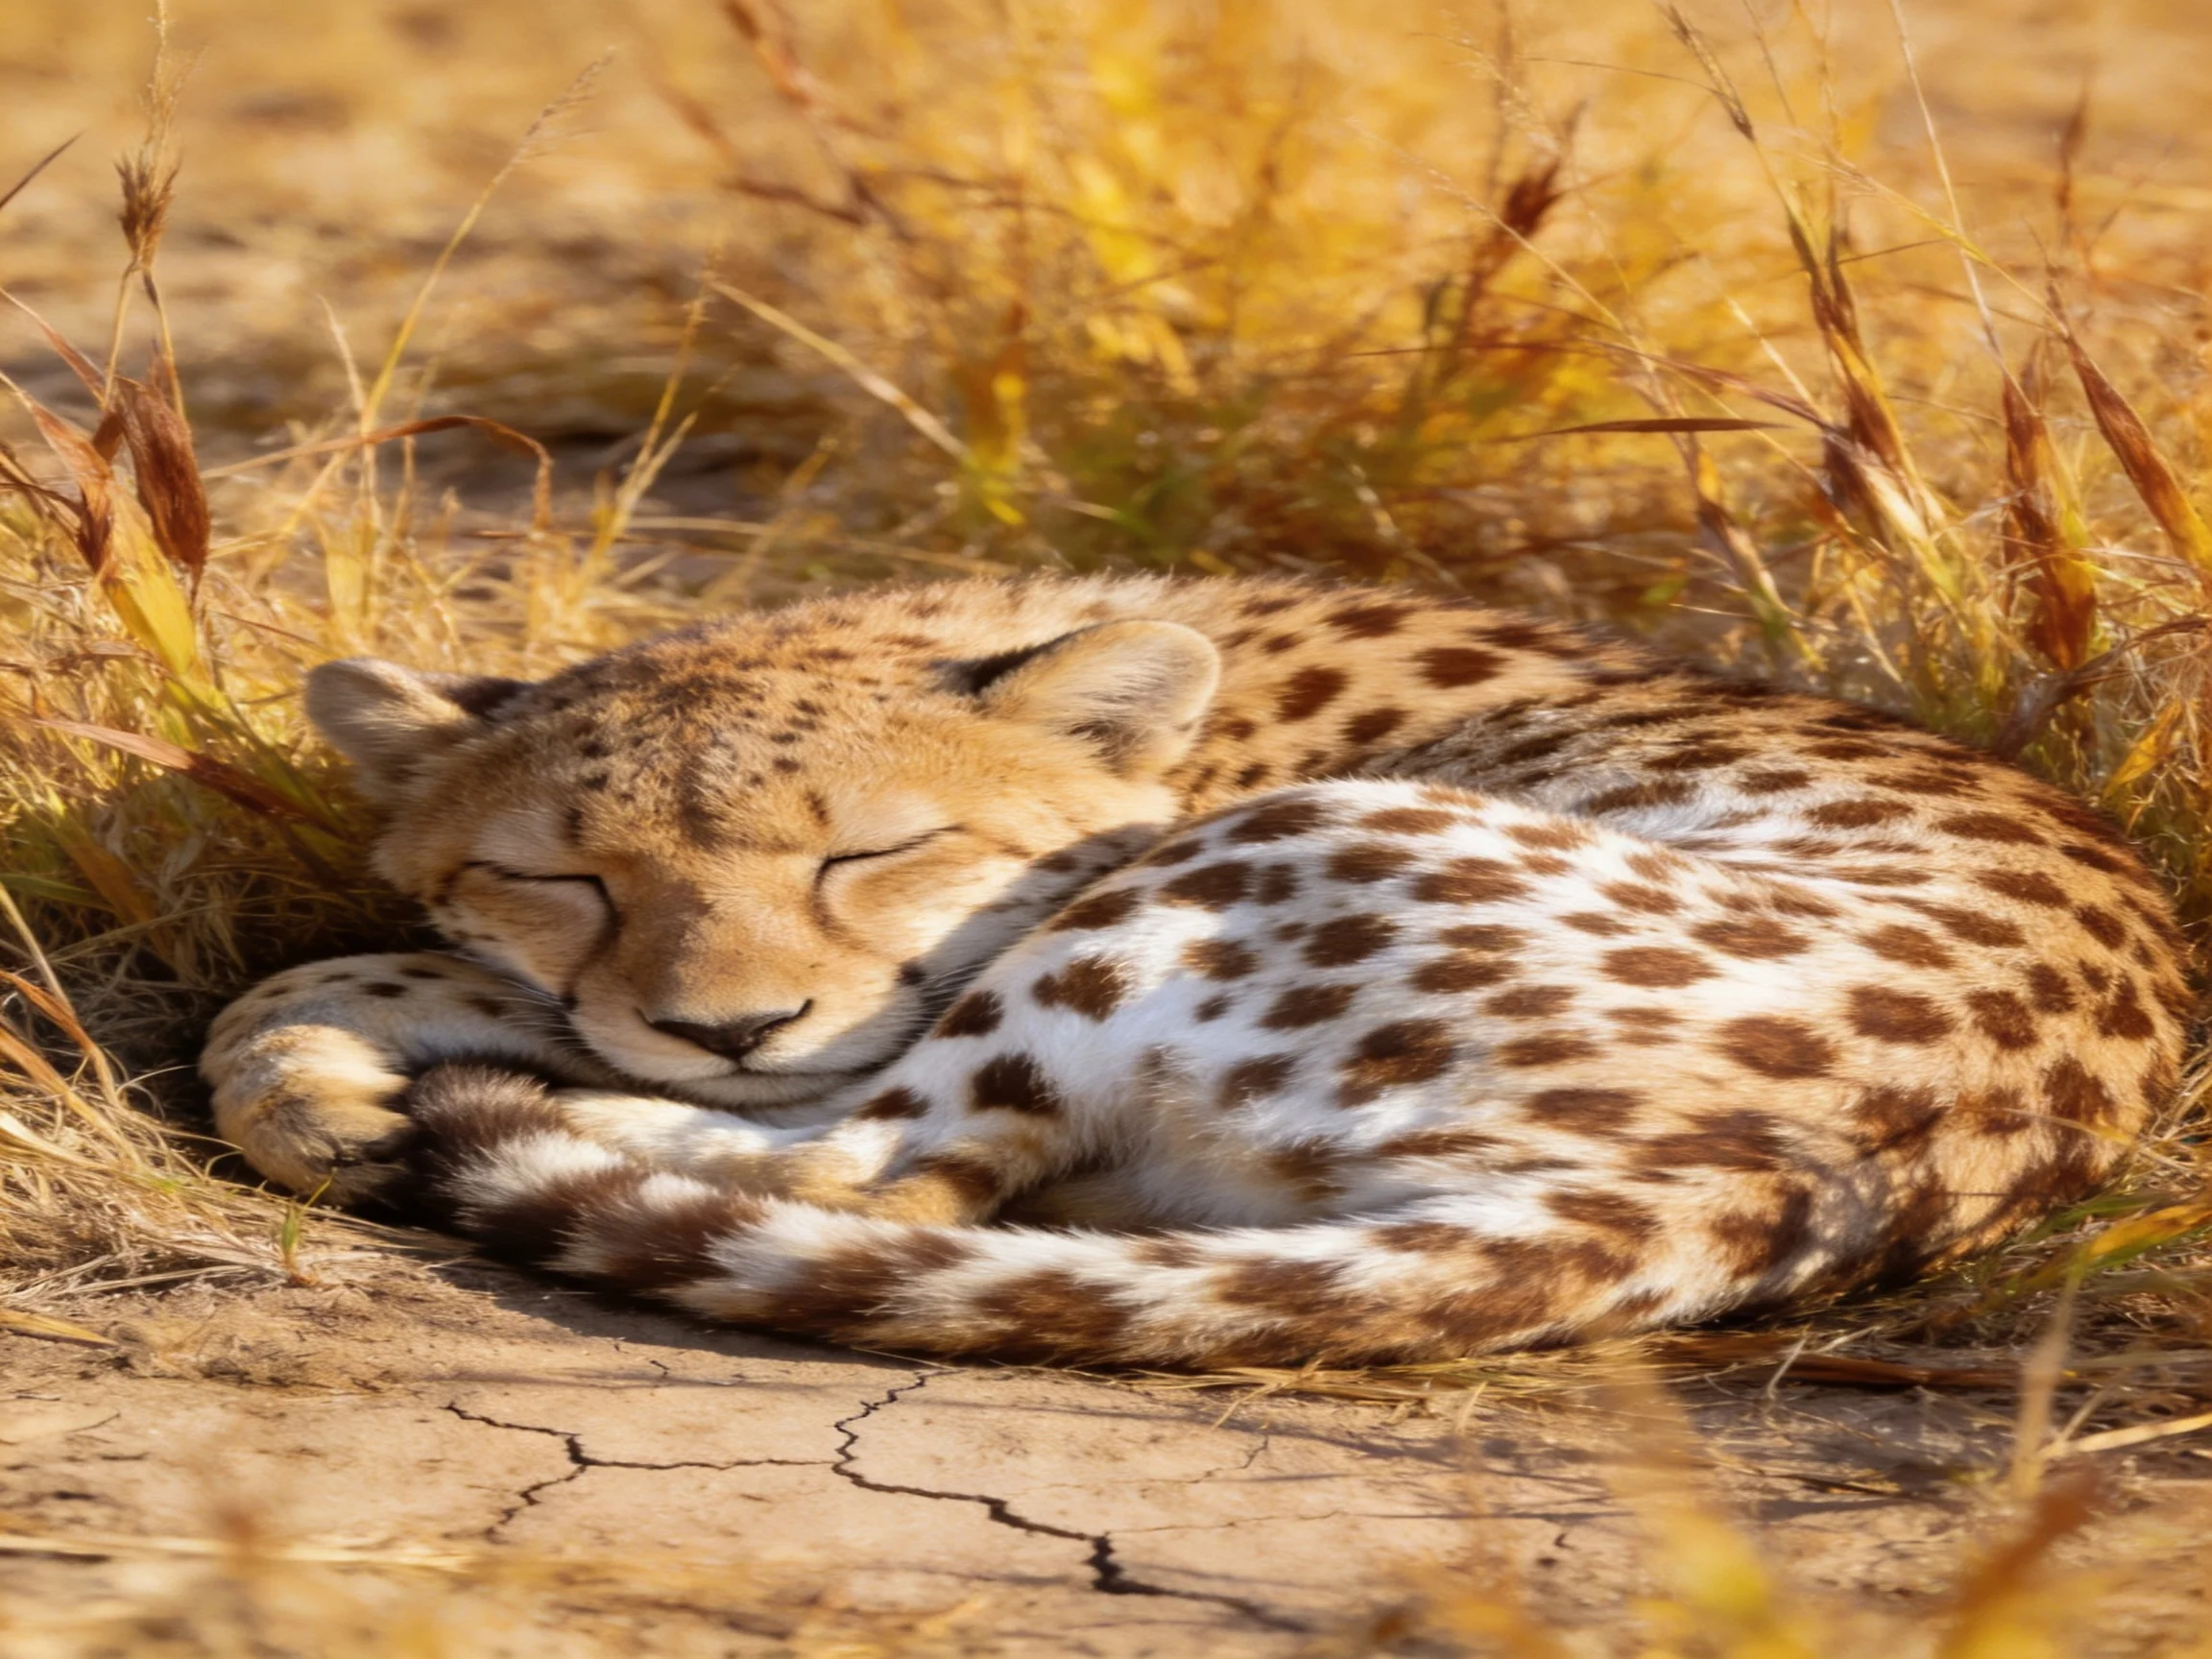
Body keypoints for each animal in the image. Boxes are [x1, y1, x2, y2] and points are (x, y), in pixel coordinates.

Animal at [201, 574, 2193, 1365]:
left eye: (865, 852)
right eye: (565, 874)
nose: (730, 1017)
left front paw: (320, 1067)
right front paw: (304, 1067)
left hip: (1247, 878)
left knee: (863, 1170)